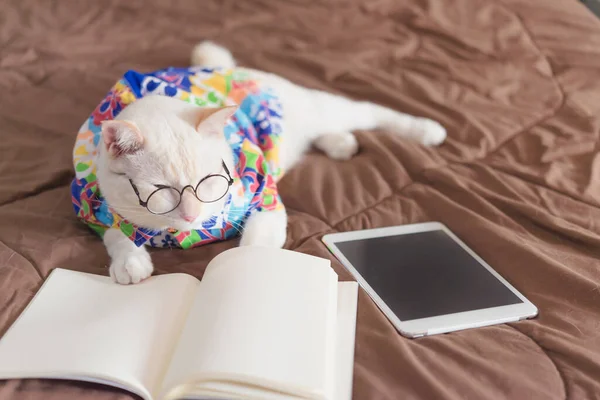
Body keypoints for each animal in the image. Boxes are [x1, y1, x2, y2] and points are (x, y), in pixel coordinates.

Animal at [90, 41, 446, 284]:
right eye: (161, 189)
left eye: (209, 181)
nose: (191, 214)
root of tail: (225, 70)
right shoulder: (95, 207)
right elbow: (116, 232)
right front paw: (130, 260)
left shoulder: (266, 199)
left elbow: (253, 247)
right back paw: (340, 143)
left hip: (320, 108)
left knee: (370, 111)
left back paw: (427, 130)